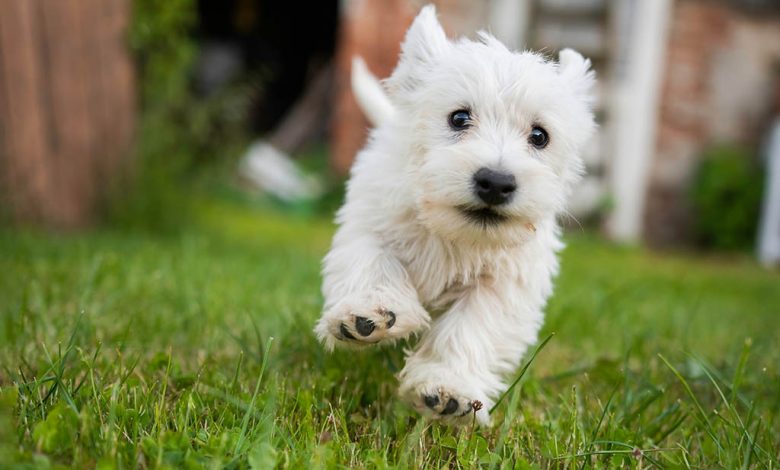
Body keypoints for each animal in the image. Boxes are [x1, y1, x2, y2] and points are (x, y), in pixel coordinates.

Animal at [314, 6, 596, 426]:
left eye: (540, 136)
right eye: (459, 118)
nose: (496, 182)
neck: (454, 232)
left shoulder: (504, 282)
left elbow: (471, 327)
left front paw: (447, 387)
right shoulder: (370, 225)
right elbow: (373, 263)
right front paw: (368, 312)